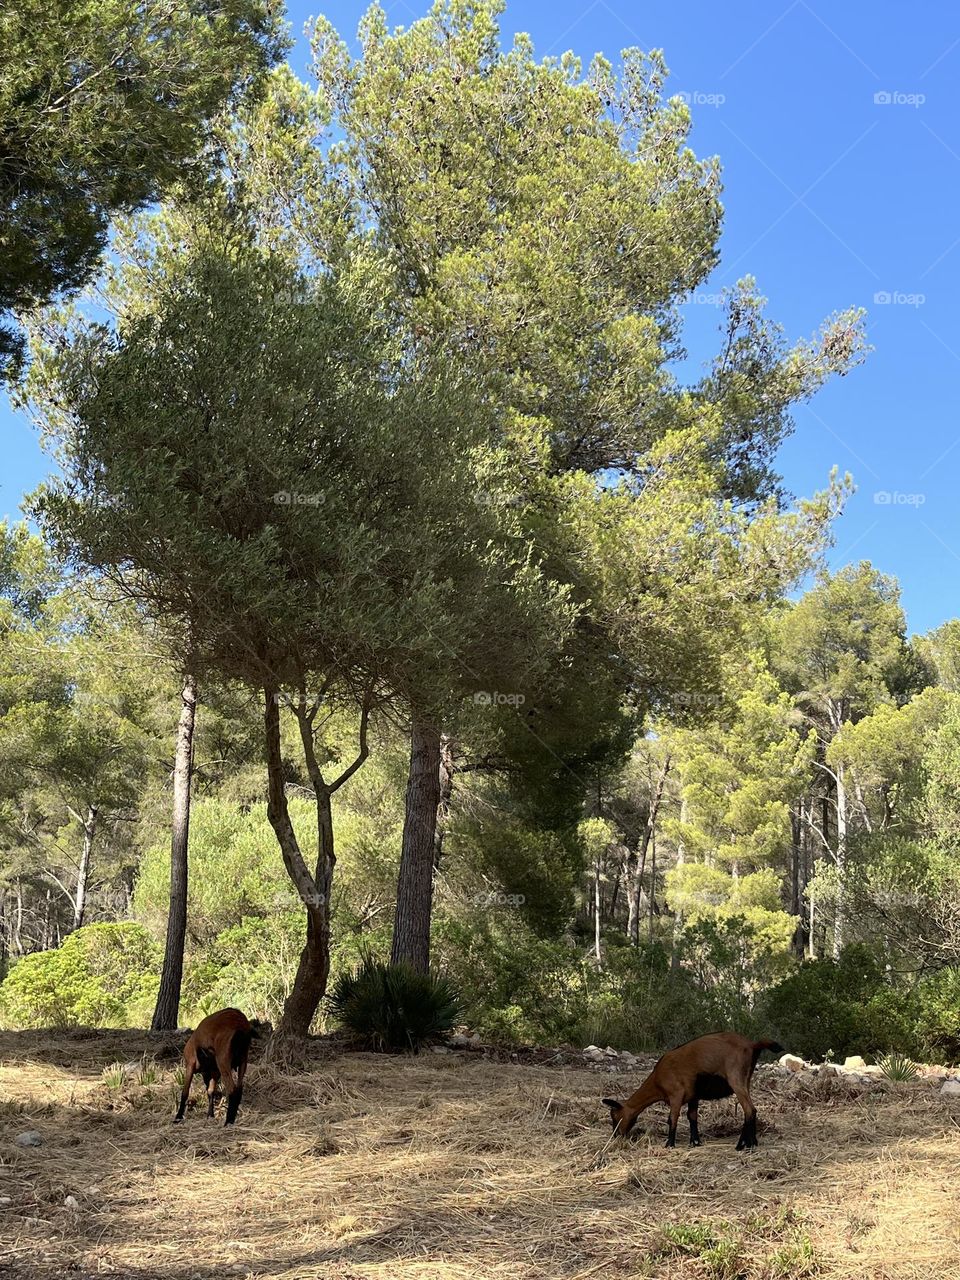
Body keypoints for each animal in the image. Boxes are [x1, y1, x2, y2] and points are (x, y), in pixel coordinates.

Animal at [602, 1032, 782, 1150]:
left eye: (614, 1116)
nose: (616, 1136)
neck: (657, 1079)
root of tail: (752, 1045)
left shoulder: (676, 1095)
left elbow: (672, 1118)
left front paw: (670, 1144)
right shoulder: (693, 1096)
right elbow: (692, 1117)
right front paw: (695, 1142)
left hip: (736, 1078)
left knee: (749, 1110)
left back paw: (742, 1144)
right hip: (746, 1080)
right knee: (753, 1109)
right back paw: (753, 1142)